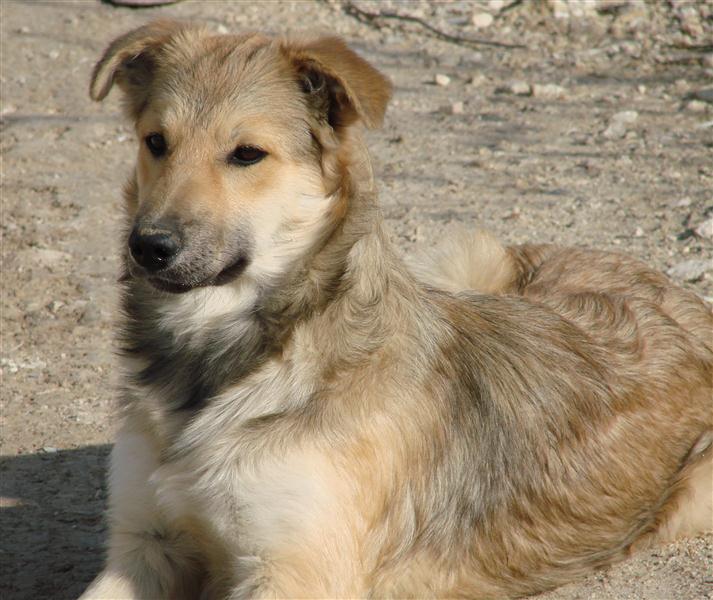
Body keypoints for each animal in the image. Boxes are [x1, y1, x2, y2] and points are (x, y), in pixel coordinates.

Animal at [82, 20, 712, 599]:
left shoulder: (293, 573)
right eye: (155, 142)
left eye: (247, 154)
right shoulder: (145, 543)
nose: (148, 247)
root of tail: (668, 285)